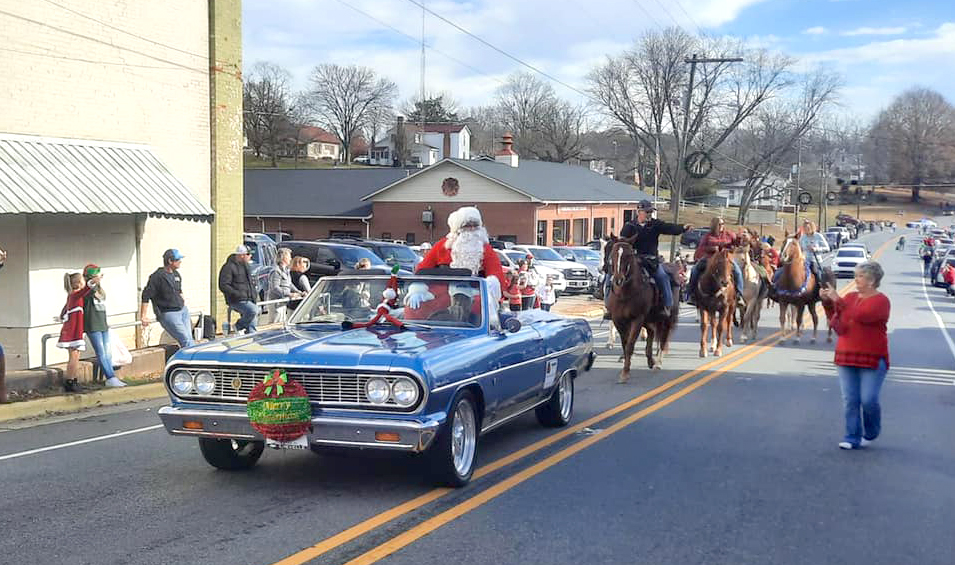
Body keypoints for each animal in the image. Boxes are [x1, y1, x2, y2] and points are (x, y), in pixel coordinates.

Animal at [604, 236, 680, 382]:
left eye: (629, 255)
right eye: (613, 254)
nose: (618, 279)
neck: (625, 293)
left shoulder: (637, 319)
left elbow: (630, 345)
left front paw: (625, 373)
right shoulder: (618, 319)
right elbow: (625, 344)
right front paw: (624, 367)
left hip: (666, 319)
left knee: (663, 338)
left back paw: (658, 363)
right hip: (649, 319)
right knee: (651, 333)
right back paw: (650, 360)